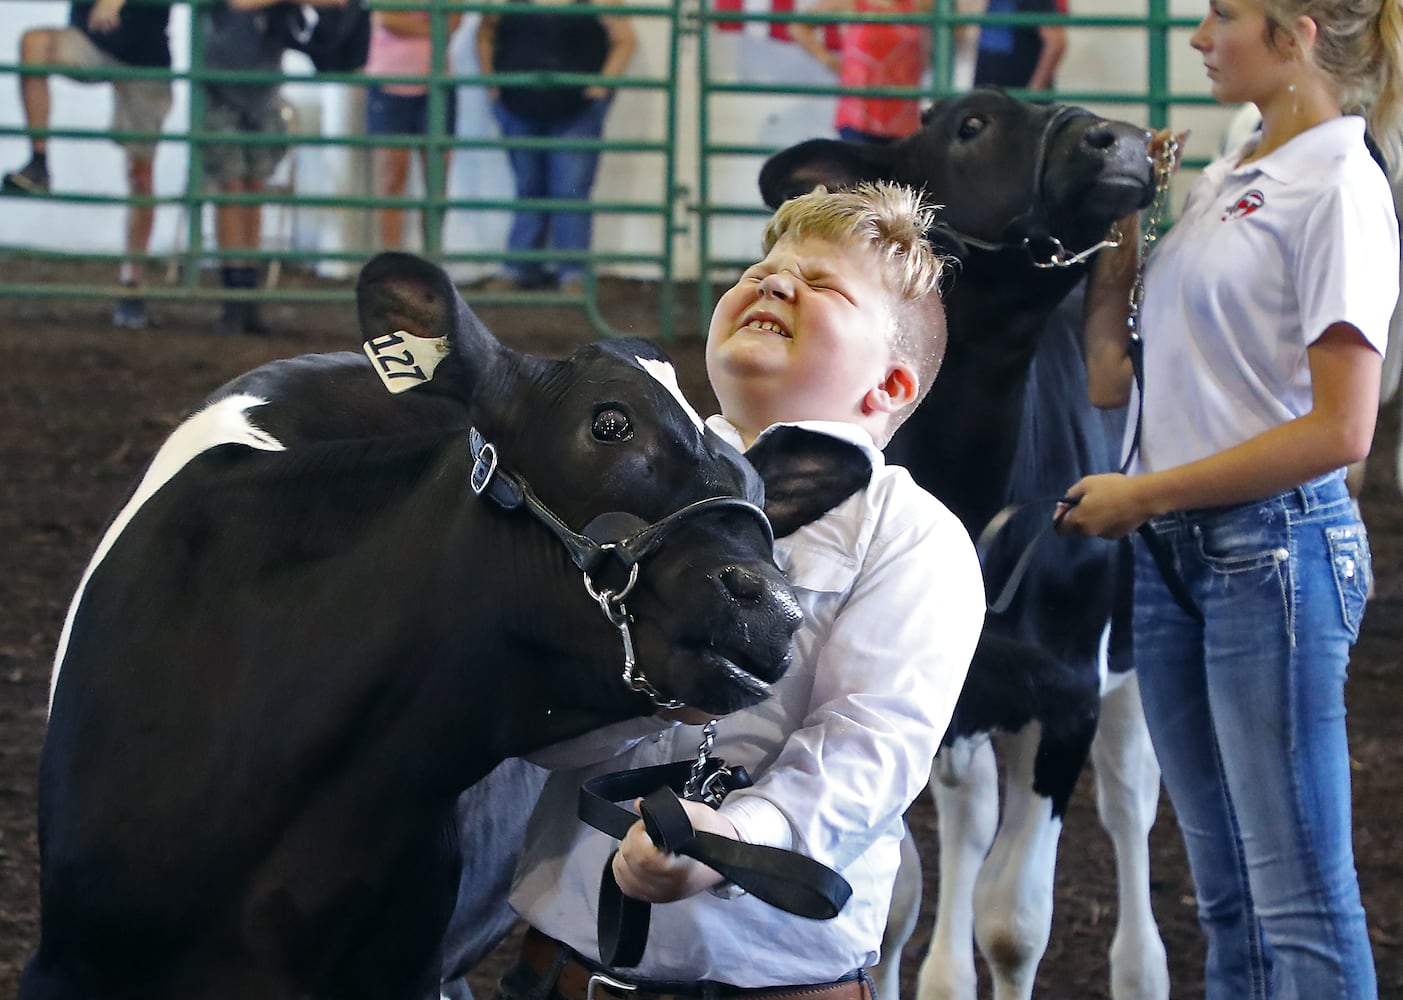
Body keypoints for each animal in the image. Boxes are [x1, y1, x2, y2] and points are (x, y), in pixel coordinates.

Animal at [763, 85, 1167, 998]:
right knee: (970, 814)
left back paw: (1141, 967)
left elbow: (1013, 922)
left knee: (1130, 797)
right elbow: (890, 899)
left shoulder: (1069, 694)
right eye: (970, 124)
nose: (1118, 138)